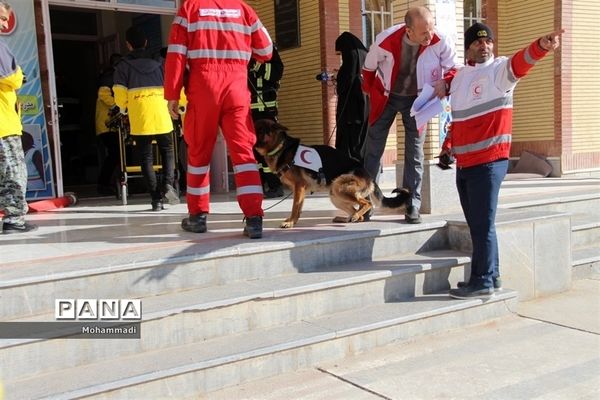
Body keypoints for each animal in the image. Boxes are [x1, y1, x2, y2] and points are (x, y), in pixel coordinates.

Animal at [253, 119, 412, 228]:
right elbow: (298, 208)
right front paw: (294, 221)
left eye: (259, 130)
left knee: (367, 204)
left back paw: (355, 215)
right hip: (335, 196)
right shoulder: (300, 190)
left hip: (339, 187)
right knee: (357, 212)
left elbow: (295, 207)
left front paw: (290, 222)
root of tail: (369, 175)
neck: (280, 147)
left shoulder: (299, 187)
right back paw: (348, 218)